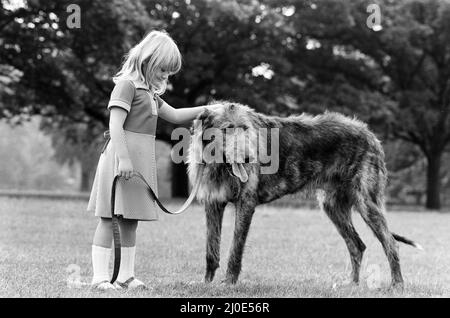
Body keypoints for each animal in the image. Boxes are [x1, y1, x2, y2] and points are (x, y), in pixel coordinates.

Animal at [185, 102, 418, 288]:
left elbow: (236, 248)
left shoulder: (246, 203)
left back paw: (397, 285)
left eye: (245, 128)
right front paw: (206, 283)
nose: (249, 157)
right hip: (332, 206)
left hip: (366, 203)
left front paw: (228, 283)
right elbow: (211, 250)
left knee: (391, 243)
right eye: (227, 129)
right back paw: (351, 284)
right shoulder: (213, 204)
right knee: (357, 245)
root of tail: (370, 134)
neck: (219, 165)